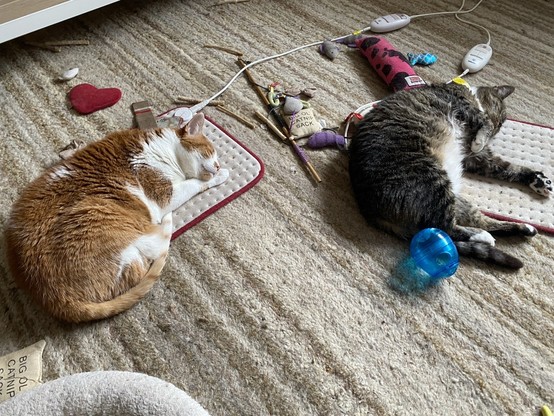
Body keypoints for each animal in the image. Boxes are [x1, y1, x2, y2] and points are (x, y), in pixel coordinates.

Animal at [5, 114, 225, 324]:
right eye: (210, 152)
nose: (218, 165)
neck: (165, 149)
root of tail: (52, 297)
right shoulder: (165, 195)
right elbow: (195, 183)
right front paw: (222, 175)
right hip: (105, 216)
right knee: (151, 253)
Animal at [348, 83, 548, 268]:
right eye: (500, 122)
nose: (492, 137)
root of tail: (369, 210)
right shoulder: (465, 109)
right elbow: (485, 122)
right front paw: (481, 138)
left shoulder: (477, 159)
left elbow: (510, 169)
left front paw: (537, 180)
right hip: (432, 180)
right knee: (446, 227)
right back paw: (483, 237)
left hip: (454, 197)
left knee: (481, 221)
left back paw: (524, 228)